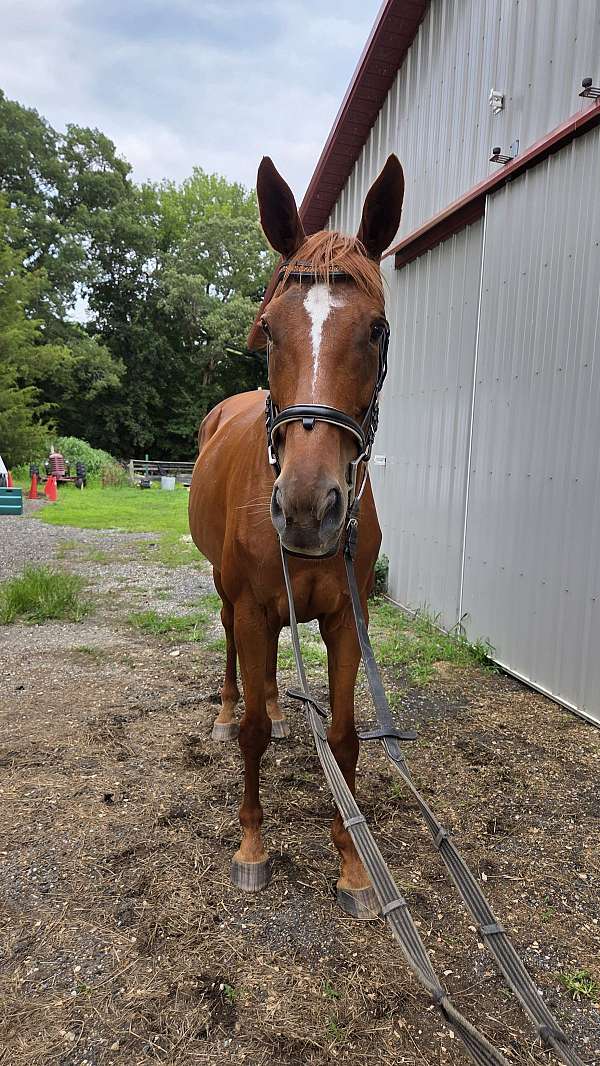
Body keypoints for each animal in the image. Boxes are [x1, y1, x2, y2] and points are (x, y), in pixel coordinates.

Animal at [189, 154, 404, 915]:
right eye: (269, 329)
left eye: (376, 330)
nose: (310, 510)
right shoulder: (254, 606)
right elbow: (253, 736)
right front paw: (252, 846)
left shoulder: (346, 617)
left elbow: (343, 737)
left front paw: (354, 863)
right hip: (227, 594)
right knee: (233, 656)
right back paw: (229, 710)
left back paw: (283, 706)